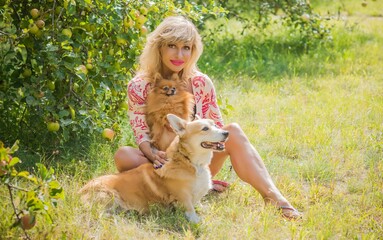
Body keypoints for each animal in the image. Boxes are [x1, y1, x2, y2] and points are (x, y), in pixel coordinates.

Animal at [78, 114, 228, 223]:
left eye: (215, 124)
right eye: (205, 129)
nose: (226, 133)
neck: (189, 162)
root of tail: (78, 193)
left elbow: (199, 204)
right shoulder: (184, 199)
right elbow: (192, 212)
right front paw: (199, 220)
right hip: (110, 195)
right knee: (98, 214)